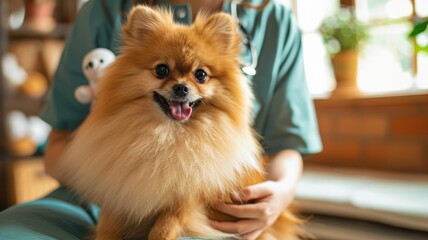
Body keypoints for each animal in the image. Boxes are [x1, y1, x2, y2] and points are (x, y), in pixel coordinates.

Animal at [55, 5, 300, 240]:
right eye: (161, 70)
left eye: (201, 75)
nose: (181, 87)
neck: (167, 136)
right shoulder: (120, 187)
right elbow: (108, 223)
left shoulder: (187, 195)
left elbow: (166, 224)